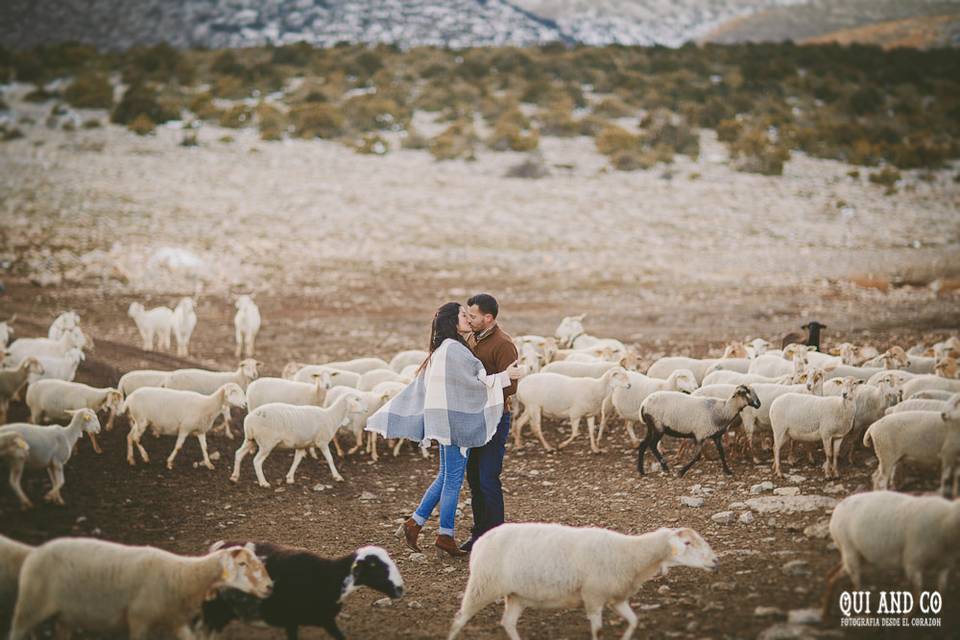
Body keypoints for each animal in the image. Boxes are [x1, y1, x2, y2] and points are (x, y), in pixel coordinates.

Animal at [8, 536, 270, 640]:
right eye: (243, 563)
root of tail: (35, 550)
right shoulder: (138, 620)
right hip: (30, 607)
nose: (270, 586)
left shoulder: (176, 622)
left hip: (64, 616)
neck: (180, 575)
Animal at [199, 540, 402, 640]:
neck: (328, 577)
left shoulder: (325, 620)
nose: (400, 589)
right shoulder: (291, 620)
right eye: (376, 567)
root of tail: (215, 549)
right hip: (215, 611)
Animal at [232, 392, 364, 488]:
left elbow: (297, 460)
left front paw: (290, 478)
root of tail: (248, 419)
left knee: (238, 453)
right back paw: (263, 483)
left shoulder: (301, 444)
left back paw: (234, 477)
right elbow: (330, 459)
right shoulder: (322, 442)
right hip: (266, 443)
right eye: (356, 399)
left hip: (250, 439)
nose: (366, 410)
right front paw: (337, 477)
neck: (332, 416)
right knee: (257, 461)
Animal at [448, 524, 712, 640]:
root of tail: (481, 540)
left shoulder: (616, 598)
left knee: (508, 622)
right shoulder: (593, 596)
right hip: (483, 586)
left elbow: (634, 621)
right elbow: (598, 630)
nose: (716, 561)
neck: (630, 554)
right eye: (687, 543)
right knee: (459, 619)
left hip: (516, 595)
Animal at [816, 490, 960, 620]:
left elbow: (941, 590)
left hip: (858, 554)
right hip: (849, 550)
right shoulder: (913, 562)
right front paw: (907, 617)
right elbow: (918, 594)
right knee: (853, 584)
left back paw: (826, 612)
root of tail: (836, 511)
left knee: (832, 575)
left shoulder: (944, 565)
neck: (947, 522)